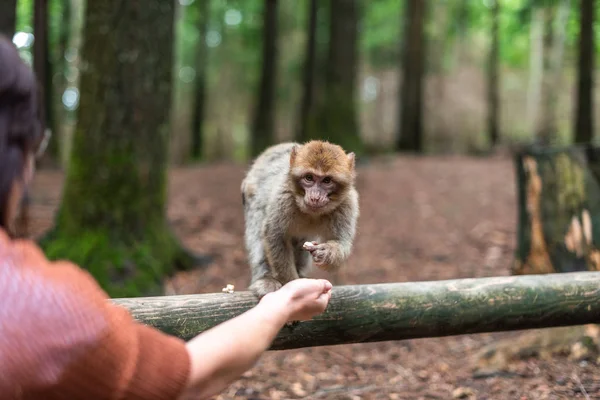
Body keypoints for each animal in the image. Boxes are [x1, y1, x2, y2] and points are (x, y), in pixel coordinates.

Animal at [240, 141, 360, 300]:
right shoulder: (283, 197)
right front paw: (292, 284)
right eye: (309, 178)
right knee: (257, 232)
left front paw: (326, 253)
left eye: (327, 180)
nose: (315, 197)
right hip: (251, 194)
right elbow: (274, 235)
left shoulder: (347, 203)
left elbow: (341, 241)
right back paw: (265, 278)